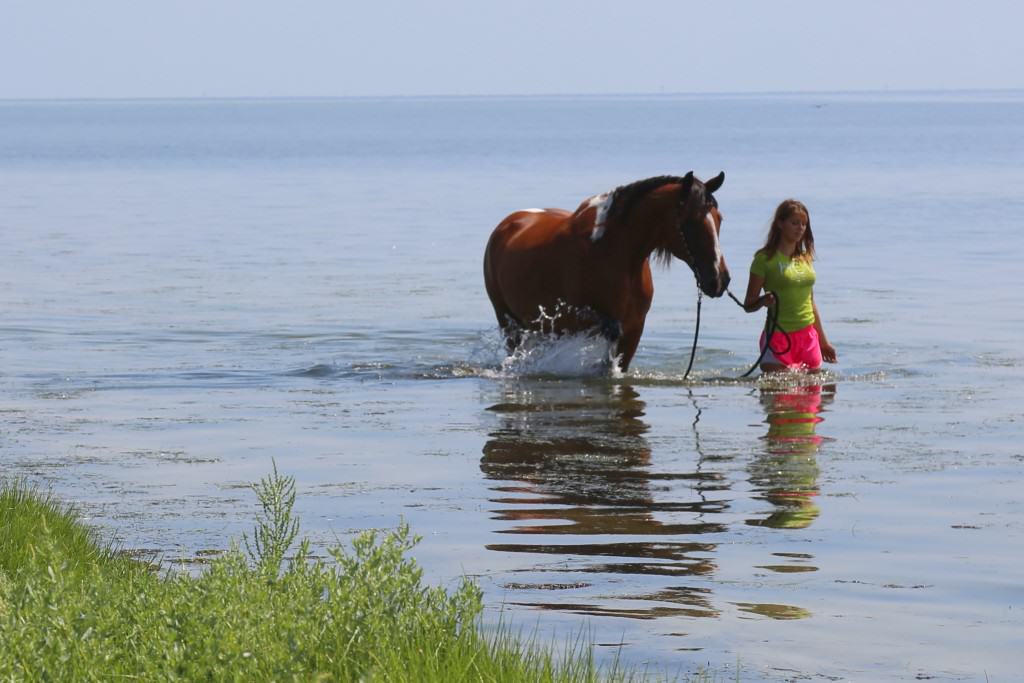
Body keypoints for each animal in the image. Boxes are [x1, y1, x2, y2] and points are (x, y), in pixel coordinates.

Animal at [481, 174, 729, 370]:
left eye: (719, 219)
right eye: (690, 222)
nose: (719, 280)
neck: (614, 252)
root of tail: (507, 224)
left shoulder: (635, 327)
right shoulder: (576, 318)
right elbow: (610, 333)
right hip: (507, 321)